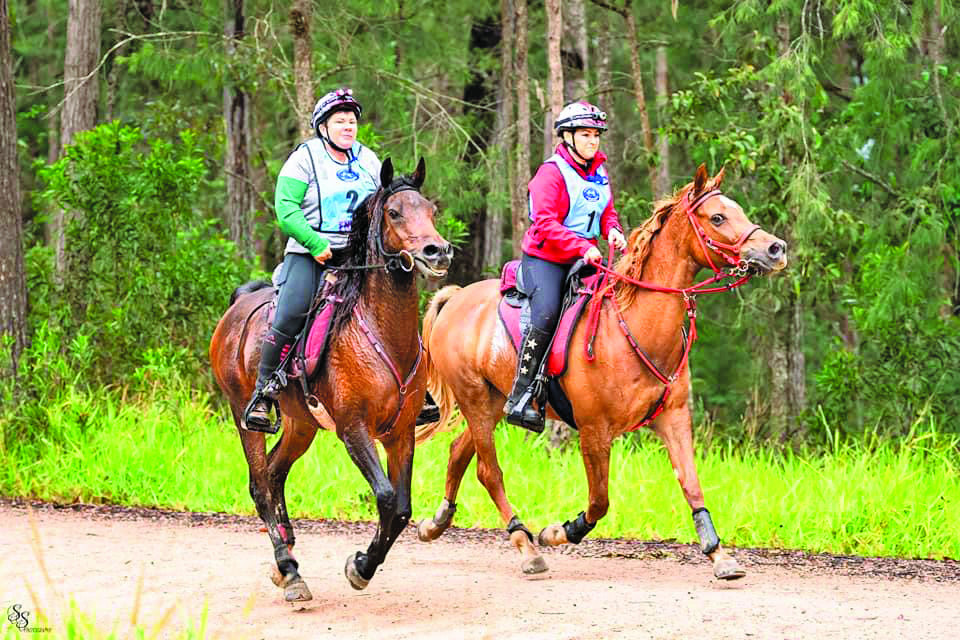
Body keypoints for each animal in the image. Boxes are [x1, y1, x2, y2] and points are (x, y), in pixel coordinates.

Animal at [210, 159, 450, 600]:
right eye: (395, 213)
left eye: (431, 210)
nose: (437, 252)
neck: (381, 329)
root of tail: (239, 305)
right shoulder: (354, 428)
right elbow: (386, 497)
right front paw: (361, 566)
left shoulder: (401, 433)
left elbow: (402, 508)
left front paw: (363, 564)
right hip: (242, 413)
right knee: (259, 485)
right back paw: (289, 571)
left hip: (300, 423)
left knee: (275, 473)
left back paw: (285, 556)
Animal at [418, 165, 788, 580]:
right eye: (718, 217)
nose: (776, 249)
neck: (635, 323)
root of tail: (456, 298)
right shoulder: (594, 431)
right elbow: (599, 501)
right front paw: (555, 532)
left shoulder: (674, 418)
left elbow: (691, 485)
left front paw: (719, 555)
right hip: (476, 400)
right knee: (489, 471)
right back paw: (526, 545)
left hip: (494, 401)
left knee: (459, 453)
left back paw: (436, 522)